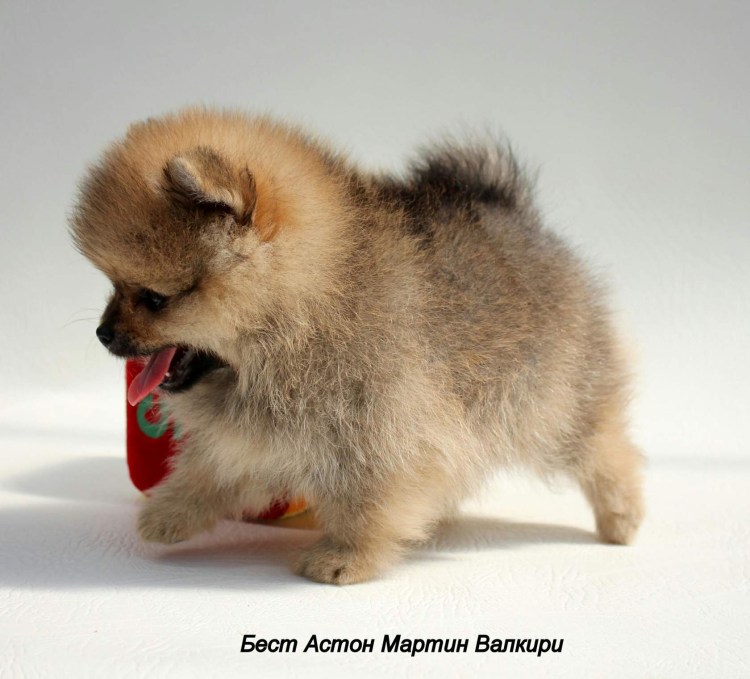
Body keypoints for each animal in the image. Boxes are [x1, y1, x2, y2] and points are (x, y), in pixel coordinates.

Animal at [71, 108, 644, 583]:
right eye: (113, 286)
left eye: (154, 299)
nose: (103, 333)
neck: (302, 314)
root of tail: (516, 212)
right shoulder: (254, 432)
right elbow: (214, 469)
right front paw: (169, 513)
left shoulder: (380, 424)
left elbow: (367, 500)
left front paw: (347, 557)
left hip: (551, 397)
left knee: (603, 446)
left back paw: (622, 517)